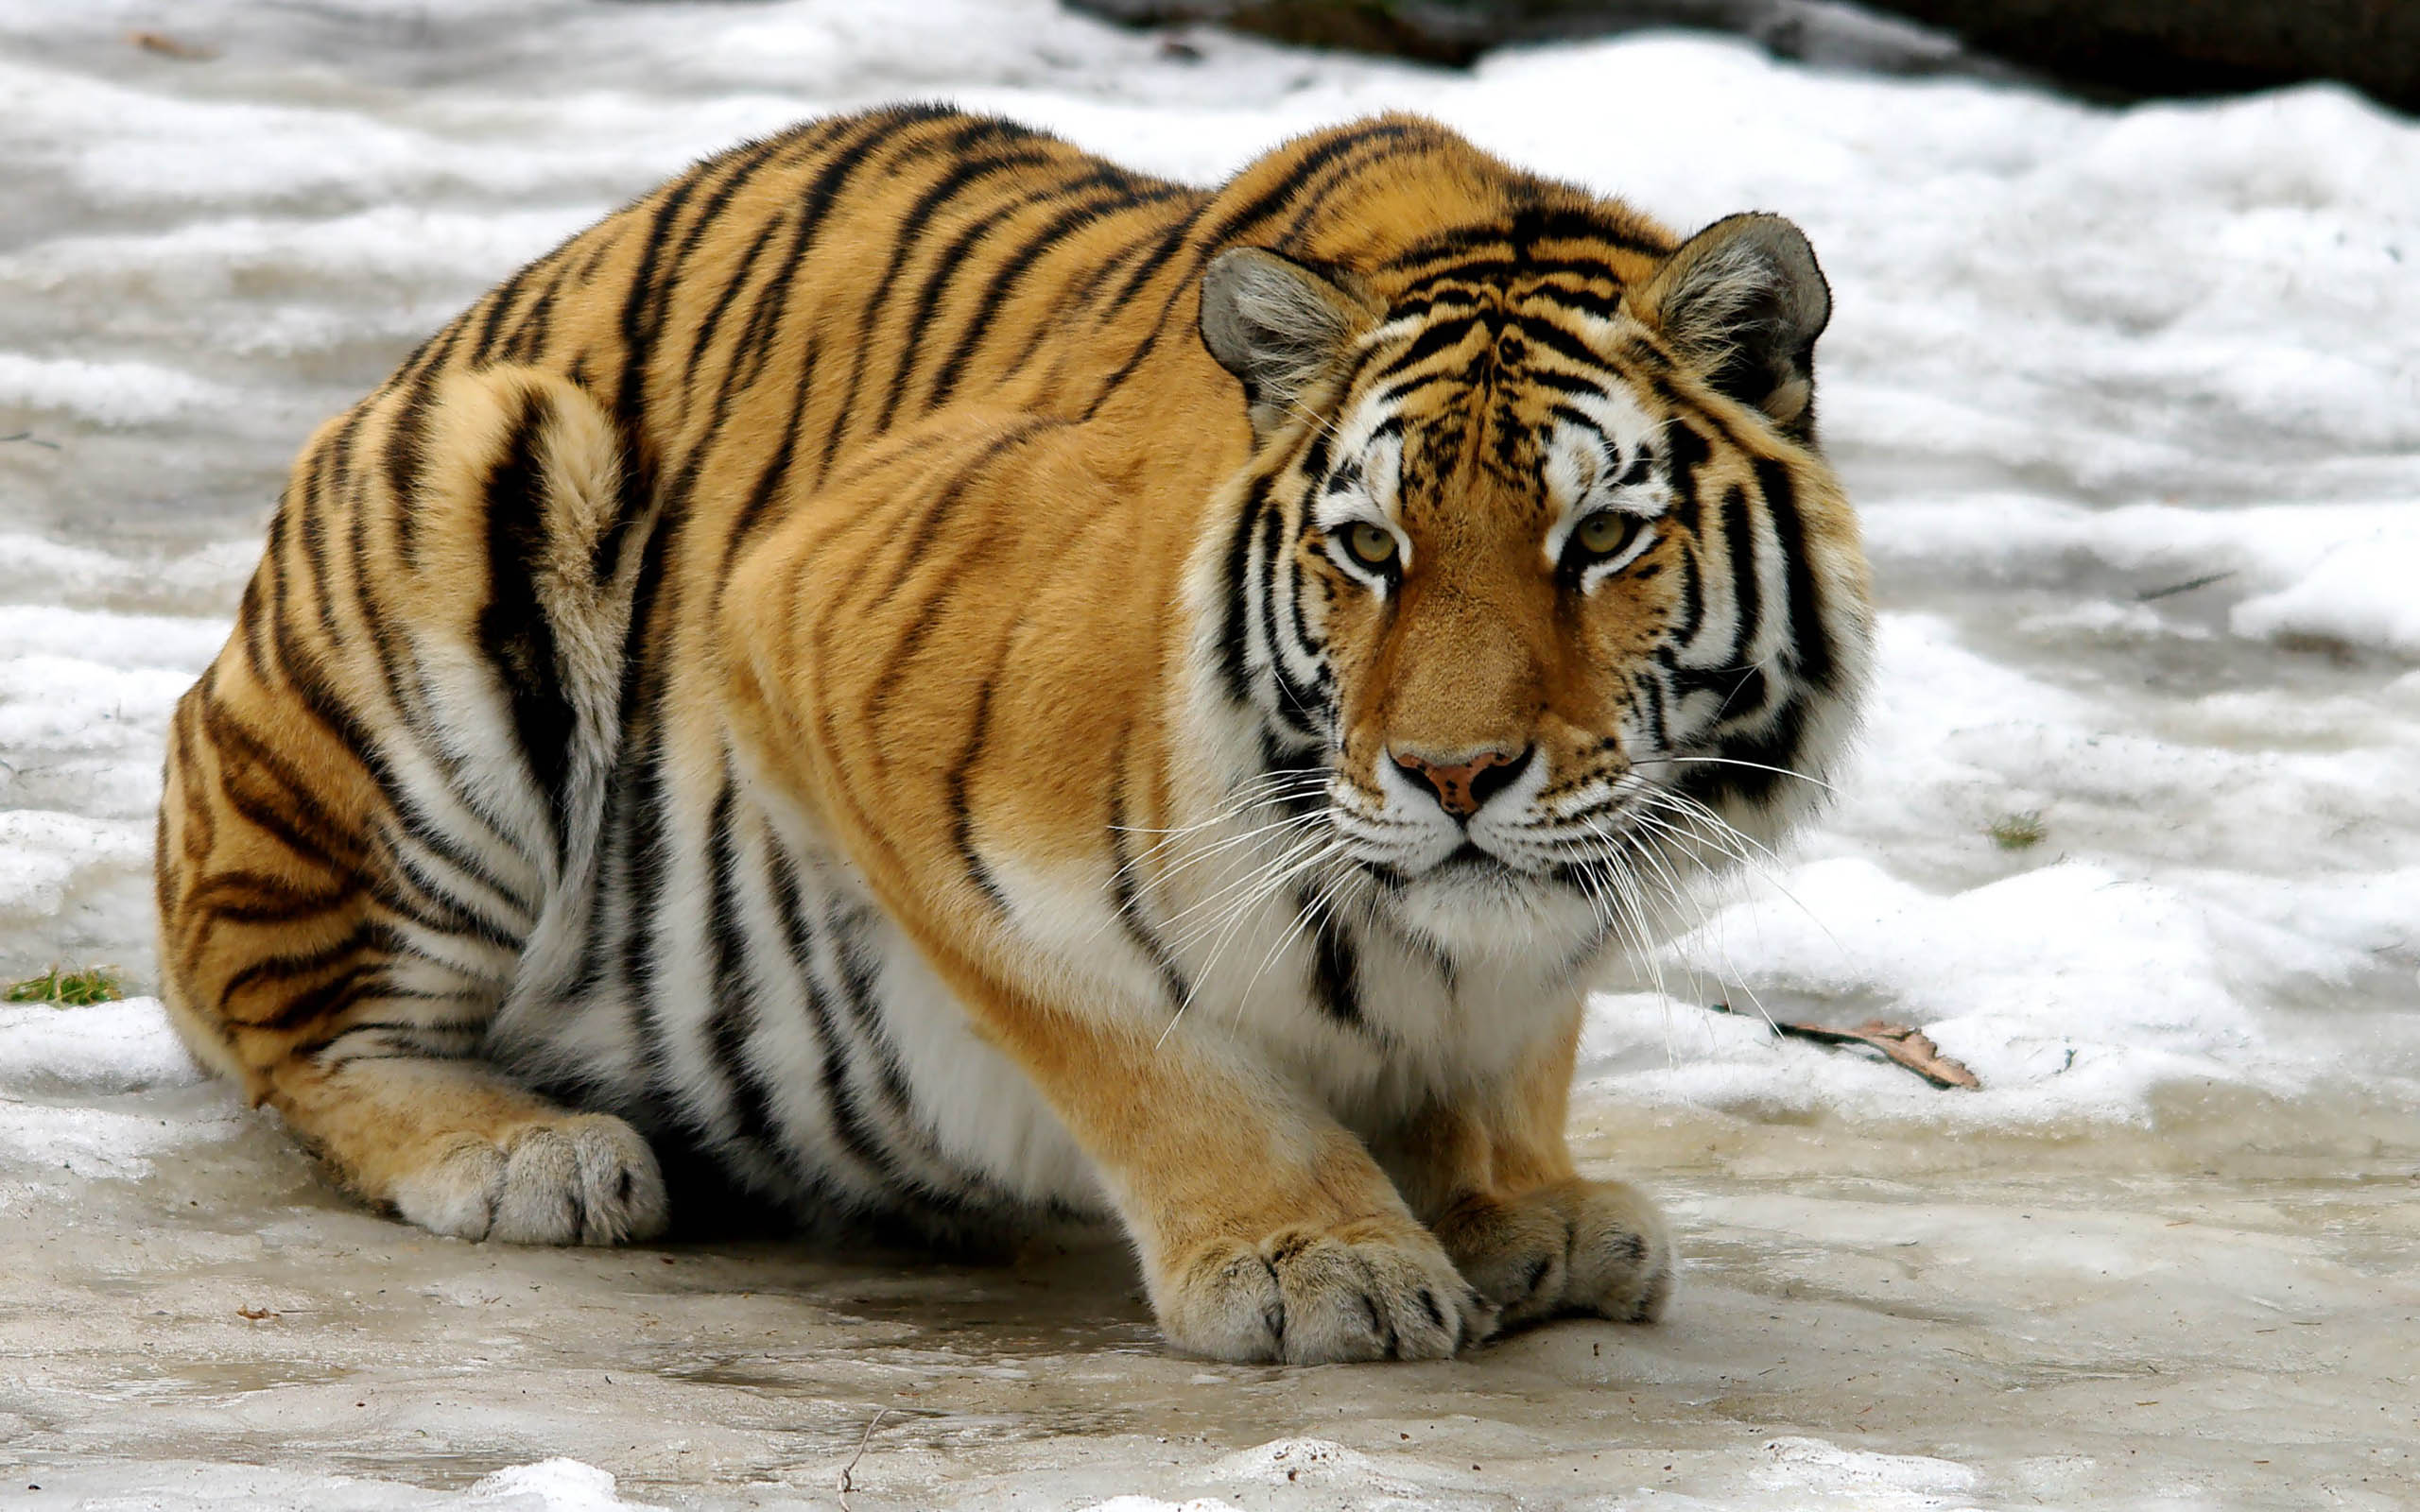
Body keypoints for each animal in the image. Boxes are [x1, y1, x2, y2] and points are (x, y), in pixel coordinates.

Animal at [156, 103, 1868, 1354]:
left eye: (1601, 542)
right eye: (1370, 550)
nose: (1452, 776)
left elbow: (1505, 1055)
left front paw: (1522, 1206)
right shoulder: (821, 644)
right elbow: (1143, 1043)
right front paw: (1315, 1259)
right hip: (474, 500)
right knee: (307, 1030)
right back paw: (531, 1154)